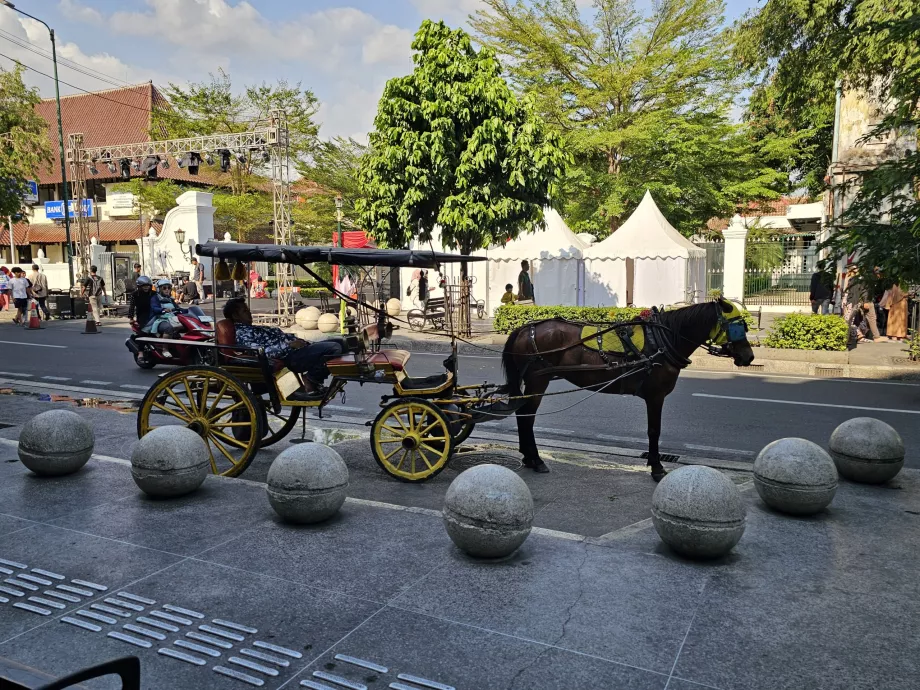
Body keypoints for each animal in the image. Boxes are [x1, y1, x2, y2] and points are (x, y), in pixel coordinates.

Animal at [504, 296, 756, 478]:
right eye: (737, 327)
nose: (749, 356)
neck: (661, 339)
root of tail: (525, 329)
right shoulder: (655, 396)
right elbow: (654, 431)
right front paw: (656, 467)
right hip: (538, 380)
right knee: (527, 416)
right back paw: (536, 459)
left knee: (523, 414)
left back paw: (528, 457)